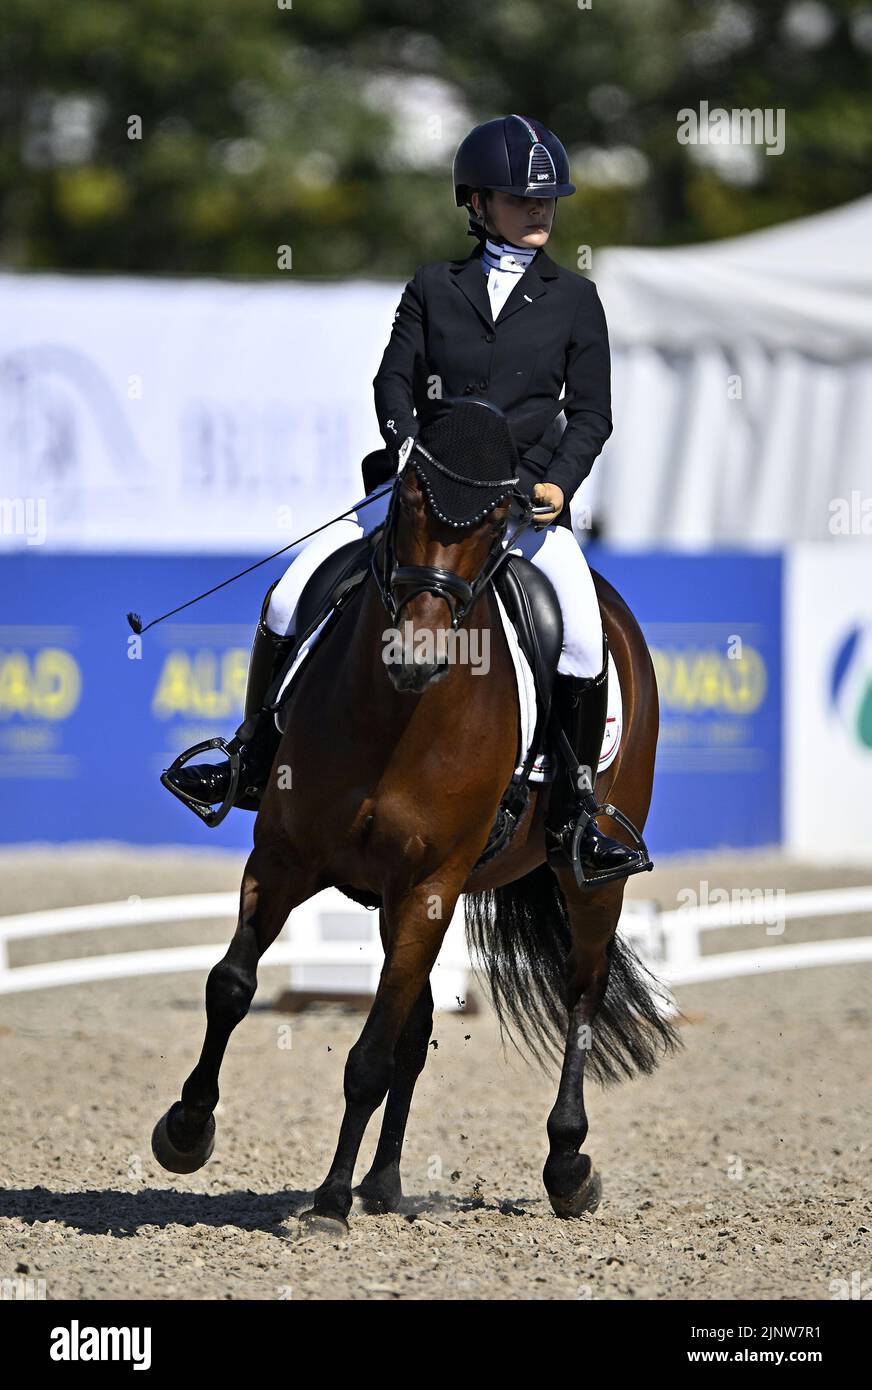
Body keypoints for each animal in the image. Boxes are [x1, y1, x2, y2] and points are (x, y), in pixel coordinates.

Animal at [153, 414, 678, 1228]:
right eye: (405, 502)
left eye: (494, 522)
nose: (416, 656)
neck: (396, 716)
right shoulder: (284, 859)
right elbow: (231, 986)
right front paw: (186, 1130)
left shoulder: (431, 882)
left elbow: (367, 1056)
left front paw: (329, 1202)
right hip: (394, 897)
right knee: (419, 1021)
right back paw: (384, 1182)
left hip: (583, 880)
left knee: (581, 992)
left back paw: (566, 1166)